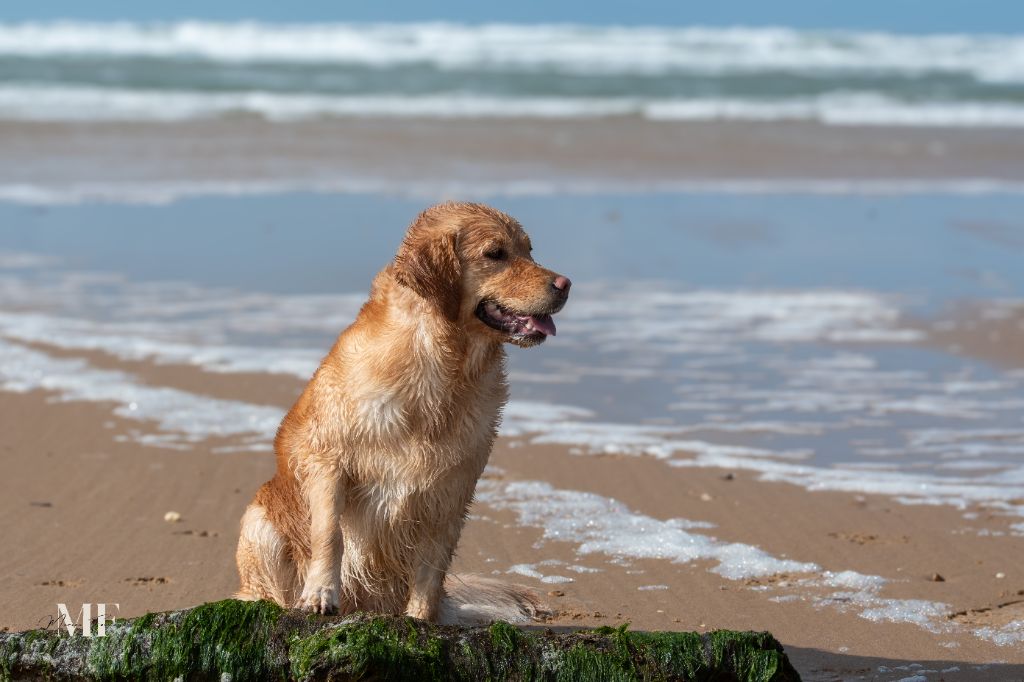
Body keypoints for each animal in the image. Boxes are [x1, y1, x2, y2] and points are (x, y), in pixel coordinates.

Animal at [236, 199, 573, 618]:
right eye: (496, 254)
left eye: (529, 250)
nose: (565, 284)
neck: (441, 367)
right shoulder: (327, 458)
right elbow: (329, 533)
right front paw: (320, 593)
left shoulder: (453, 488)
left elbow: (433, 564)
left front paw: (421, 620)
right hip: (257, 522)